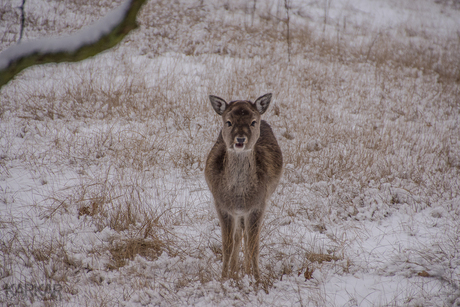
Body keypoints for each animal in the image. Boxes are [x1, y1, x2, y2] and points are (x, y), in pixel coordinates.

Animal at [206, 94, 284, 284]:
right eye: (228, 122)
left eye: (253, 122)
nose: (240, 139)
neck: (239, 196)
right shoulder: (222, 206)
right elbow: (227, 245)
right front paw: (224, 278)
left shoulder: (258, 206)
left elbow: (253, 244)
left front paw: (256, 280)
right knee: (237, 236)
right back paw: (235, 272)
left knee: (245, 236)